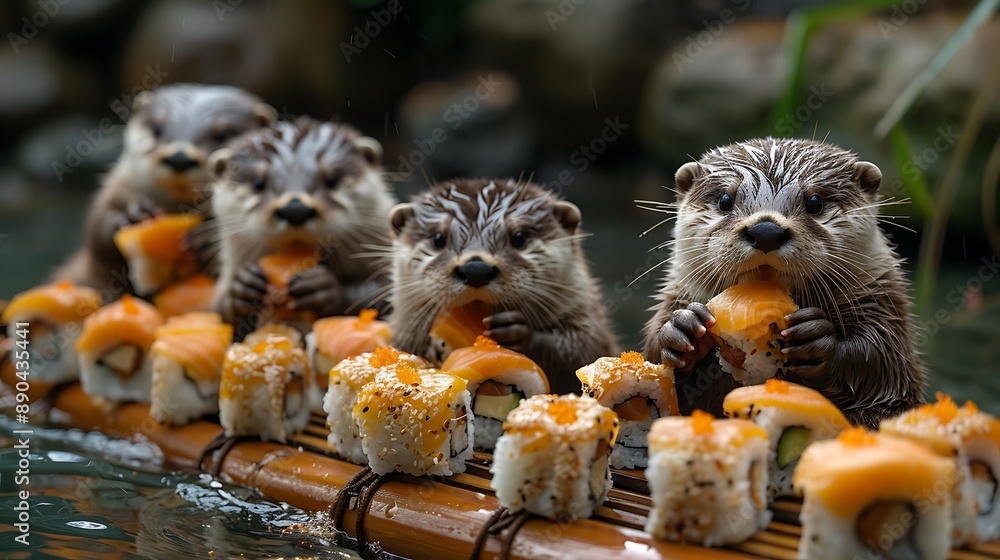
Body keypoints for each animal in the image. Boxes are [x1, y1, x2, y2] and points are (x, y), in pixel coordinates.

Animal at [54, 84, 276, 293]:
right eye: (156, 129)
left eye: (221, 135)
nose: (179, 157)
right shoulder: (117, 187)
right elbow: (96, 229)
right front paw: (132, 216)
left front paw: (208, 241)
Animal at [208, 116, 395, 338]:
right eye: (258, 183)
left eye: (331, 180)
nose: (295, 209)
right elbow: (221, 312)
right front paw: (242, 285)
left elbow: (379, 295)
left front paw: (324, 287)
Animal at [642, 137, 926, 428]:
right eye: (725, 200)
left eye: (815, 202)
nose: (766, 230)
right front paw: (682, 329)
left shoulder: (883, 306)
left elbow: (881, 360)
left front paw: (818, 338)